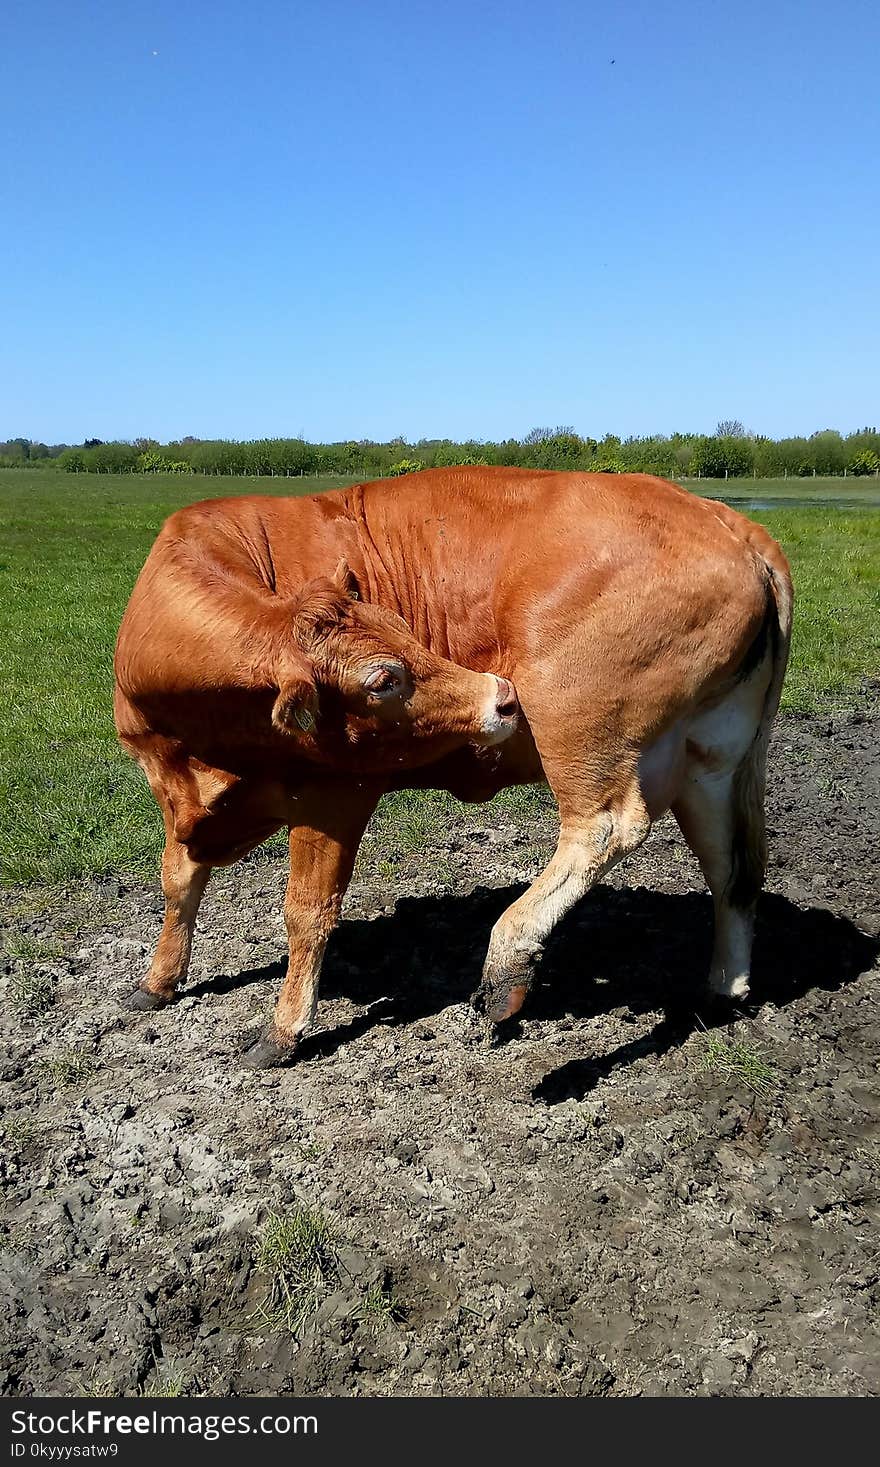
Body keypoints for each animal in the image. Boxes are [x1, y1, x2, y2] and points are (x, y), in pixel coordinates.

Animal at [113, 469, 792, 1067]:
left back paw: (504, 966)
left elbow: (307, 911)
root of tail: (724, 518)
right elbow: (178, 881)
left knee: (605, 827)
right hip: (710, 756)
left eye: (406, 631)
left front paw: (282, 1031)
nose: (503, 696)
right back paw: (723, 989)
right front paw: (157, 981)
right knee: (733, 867)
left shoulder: (336, 789)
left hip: (581, 722)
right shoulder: (172, 791)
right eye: (384, 677)